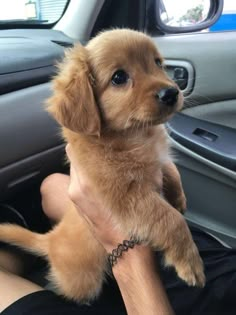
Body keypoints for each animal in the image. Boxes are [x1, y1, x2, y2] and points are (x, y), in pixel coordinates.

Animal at [0, 30, 205, 304]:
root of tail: (51, 240)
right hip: (84, 281)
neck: (135, 136)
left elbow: (170, 168)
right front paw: (190, 262)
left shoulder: (157, 160)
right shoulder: (127, 195)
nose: (171, 93)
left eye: (158, 63)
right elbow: (170, 219)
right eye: (119, 77)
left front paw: (178, 198)